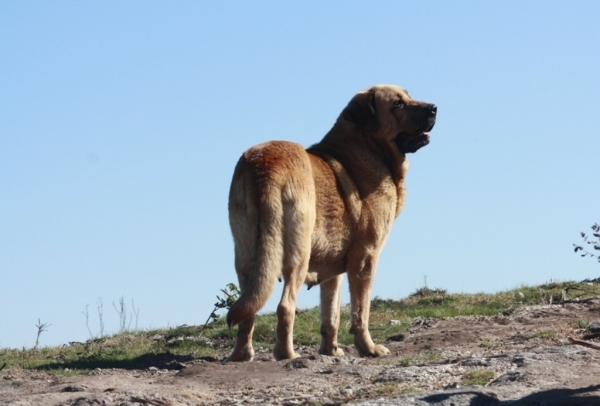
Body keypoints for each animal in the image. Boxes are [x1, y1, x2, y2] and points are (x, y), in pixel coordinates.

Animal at [225, 84, 436, 360]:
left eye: (409, 96)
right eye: (397, 104)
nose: (434, 108)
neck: (369, 146)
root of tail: (265, 166)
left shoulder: (332, 270)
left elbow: (331, 314)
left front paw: (330, 351)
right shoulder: (365, 258)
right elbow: (361, 311)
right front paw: (368, 348)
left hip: (246, 256)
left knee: (248, 309)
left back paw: (242, 354)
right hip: (298, 255)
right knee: (285, 307)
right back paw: (287, 354)